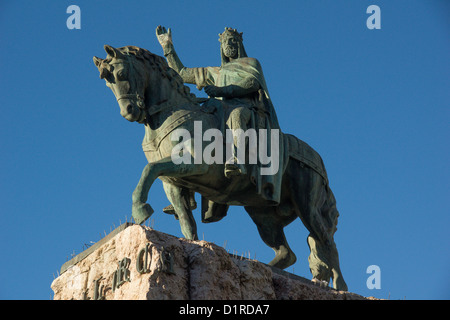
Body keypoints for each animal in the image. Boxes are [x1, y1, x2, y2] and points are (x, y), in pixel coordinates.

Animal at [92, 43, 348, 292]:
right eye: (107, 82)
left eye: (121, 73)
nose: (129, 111)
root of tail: (318, 159)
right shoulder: (172, 183)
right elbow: (185, 219)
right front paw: (191, 242)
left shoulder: (197, 165)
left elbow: (149, 169)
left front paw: (140, 209)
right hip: (263, 213)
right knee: (288, 253)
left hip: (307, 206)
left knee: (326, 241)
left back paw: (338, 285)